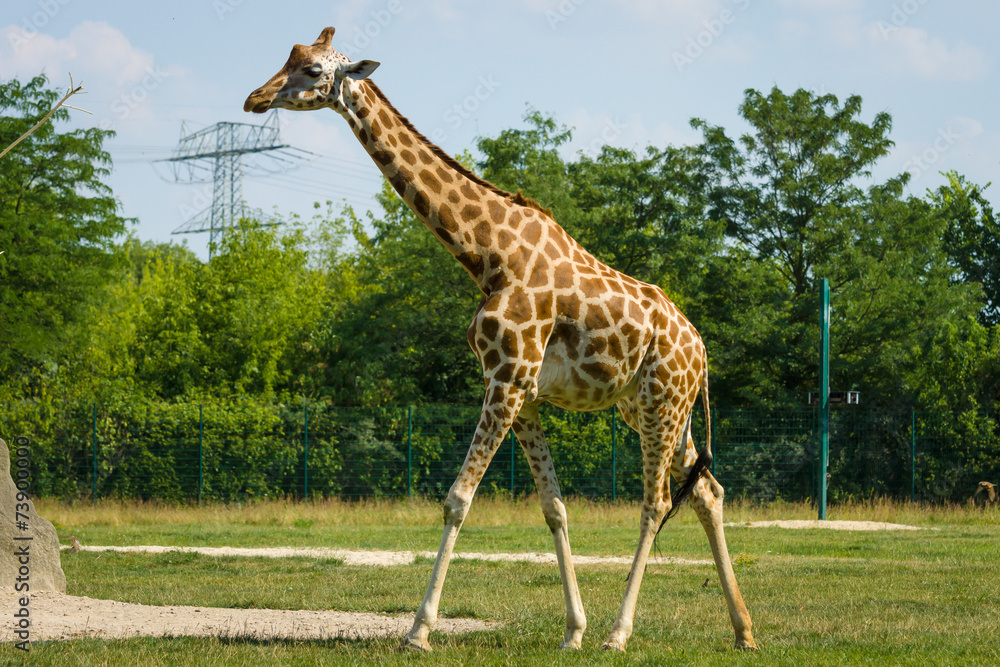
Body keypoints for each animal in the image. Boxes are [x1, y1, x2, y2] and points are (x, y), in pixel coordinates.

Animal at [244, 27, 757, 653]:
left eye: (314, 70)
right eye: (287, 57)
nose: (255, 99)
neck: (486, 255)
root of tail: (703, 350)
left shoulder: (505, 379)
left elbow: (457, 500)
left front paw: (418, 630)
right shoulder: (525, 394)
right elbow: (554, 507)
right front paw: (572, 631)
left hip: (663, 404)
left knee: (656, 502)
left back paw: (621, 634)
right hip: (654, 409)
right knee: (708, 491)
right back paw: (743, 631)